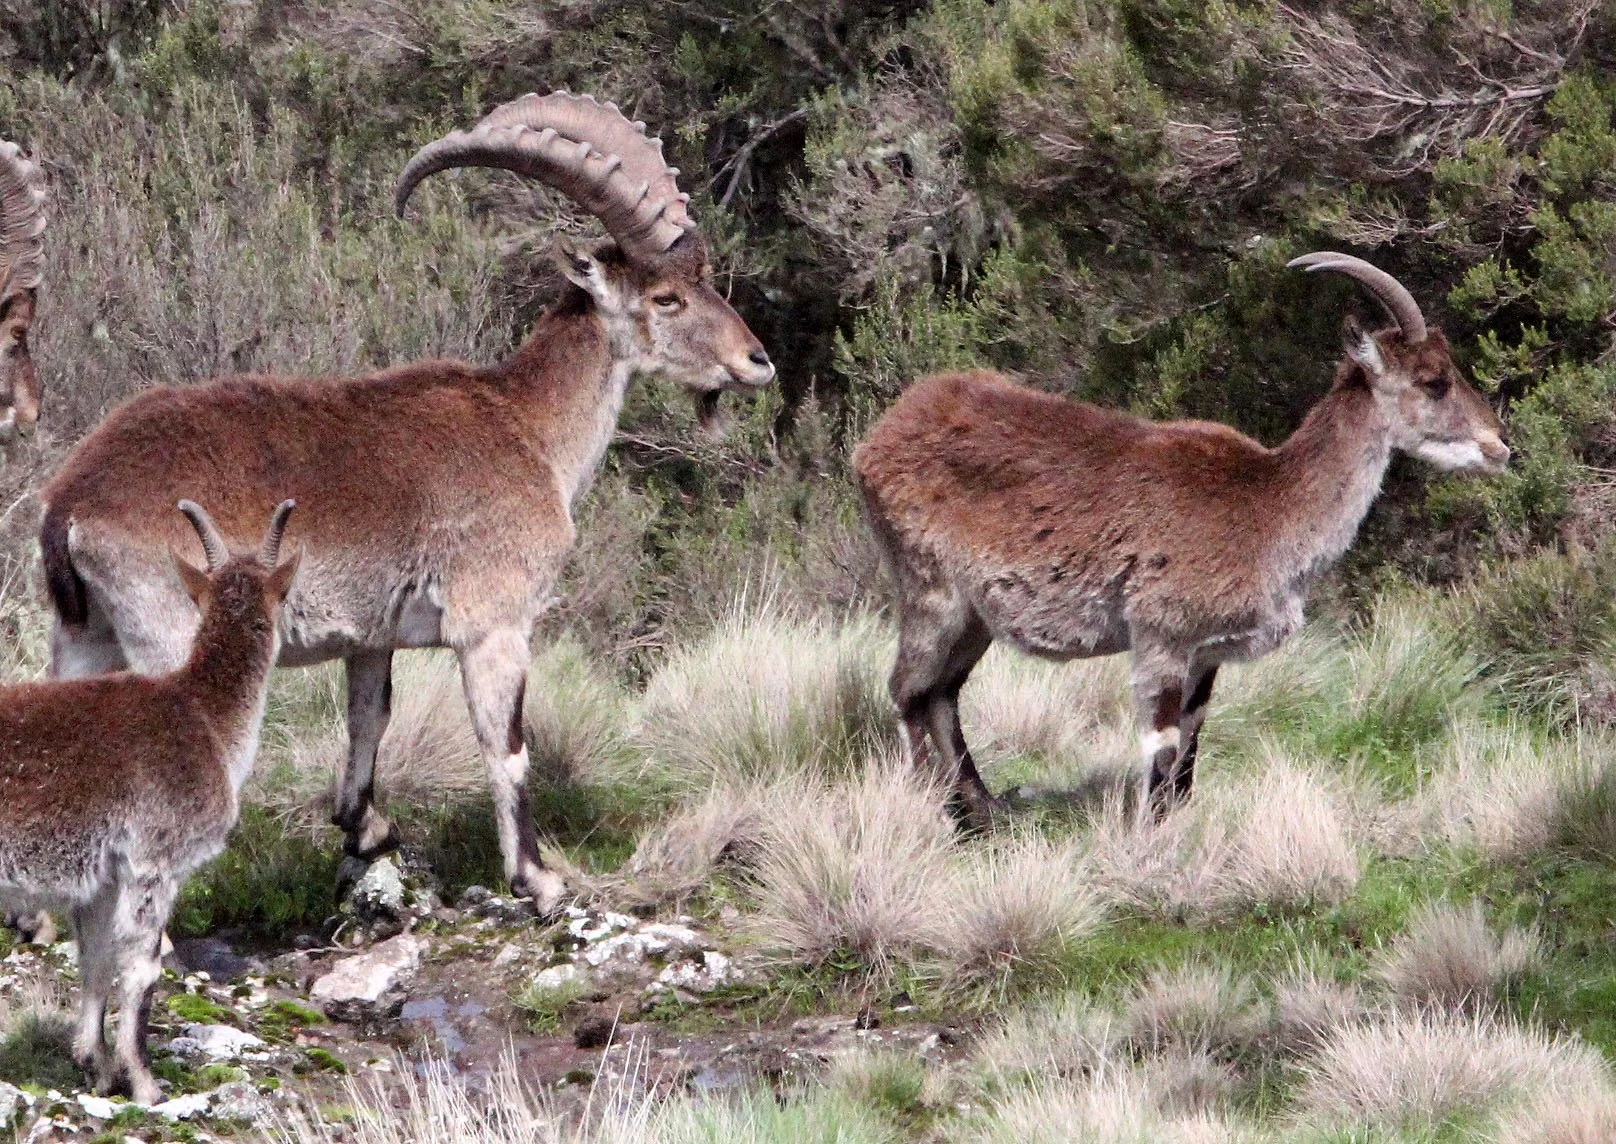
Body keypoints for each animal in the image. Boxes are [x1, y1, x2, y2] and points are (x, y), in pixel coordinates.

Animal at [0, 501, 298, 1105]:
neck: (205, 717)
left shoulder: (100, 877)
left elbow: (94, 961)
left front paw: (95, 1065)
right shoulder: (154, 861)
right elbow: (141, 969)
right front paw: (145, 1084)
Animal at [38, 92, 774, 914]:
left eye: (705, 277)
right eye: (665, 297)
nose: (757, 361)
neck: (528, 429)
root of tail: (71, 502)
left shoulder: (371, 635)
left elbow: (370, 718)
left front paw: (367, 830)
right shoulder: (493, 623)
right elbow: (506, 747)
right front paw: (538, 878)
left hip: (85, 638)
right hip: (169, 632)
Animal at [854, 254, 1509, 826]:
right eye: (1434, 381)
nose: (1501, 445)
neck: (1269, 504)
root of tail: (879, 437)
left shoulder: (1206, 654)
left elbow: (1191, 749)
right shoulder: (1161, 635)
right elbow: (1163, 744)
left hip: (975, 617)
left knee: (942, 693)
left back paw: (983, 813)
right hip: (930, 590)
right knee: (909, 691)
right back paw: (937, 815)